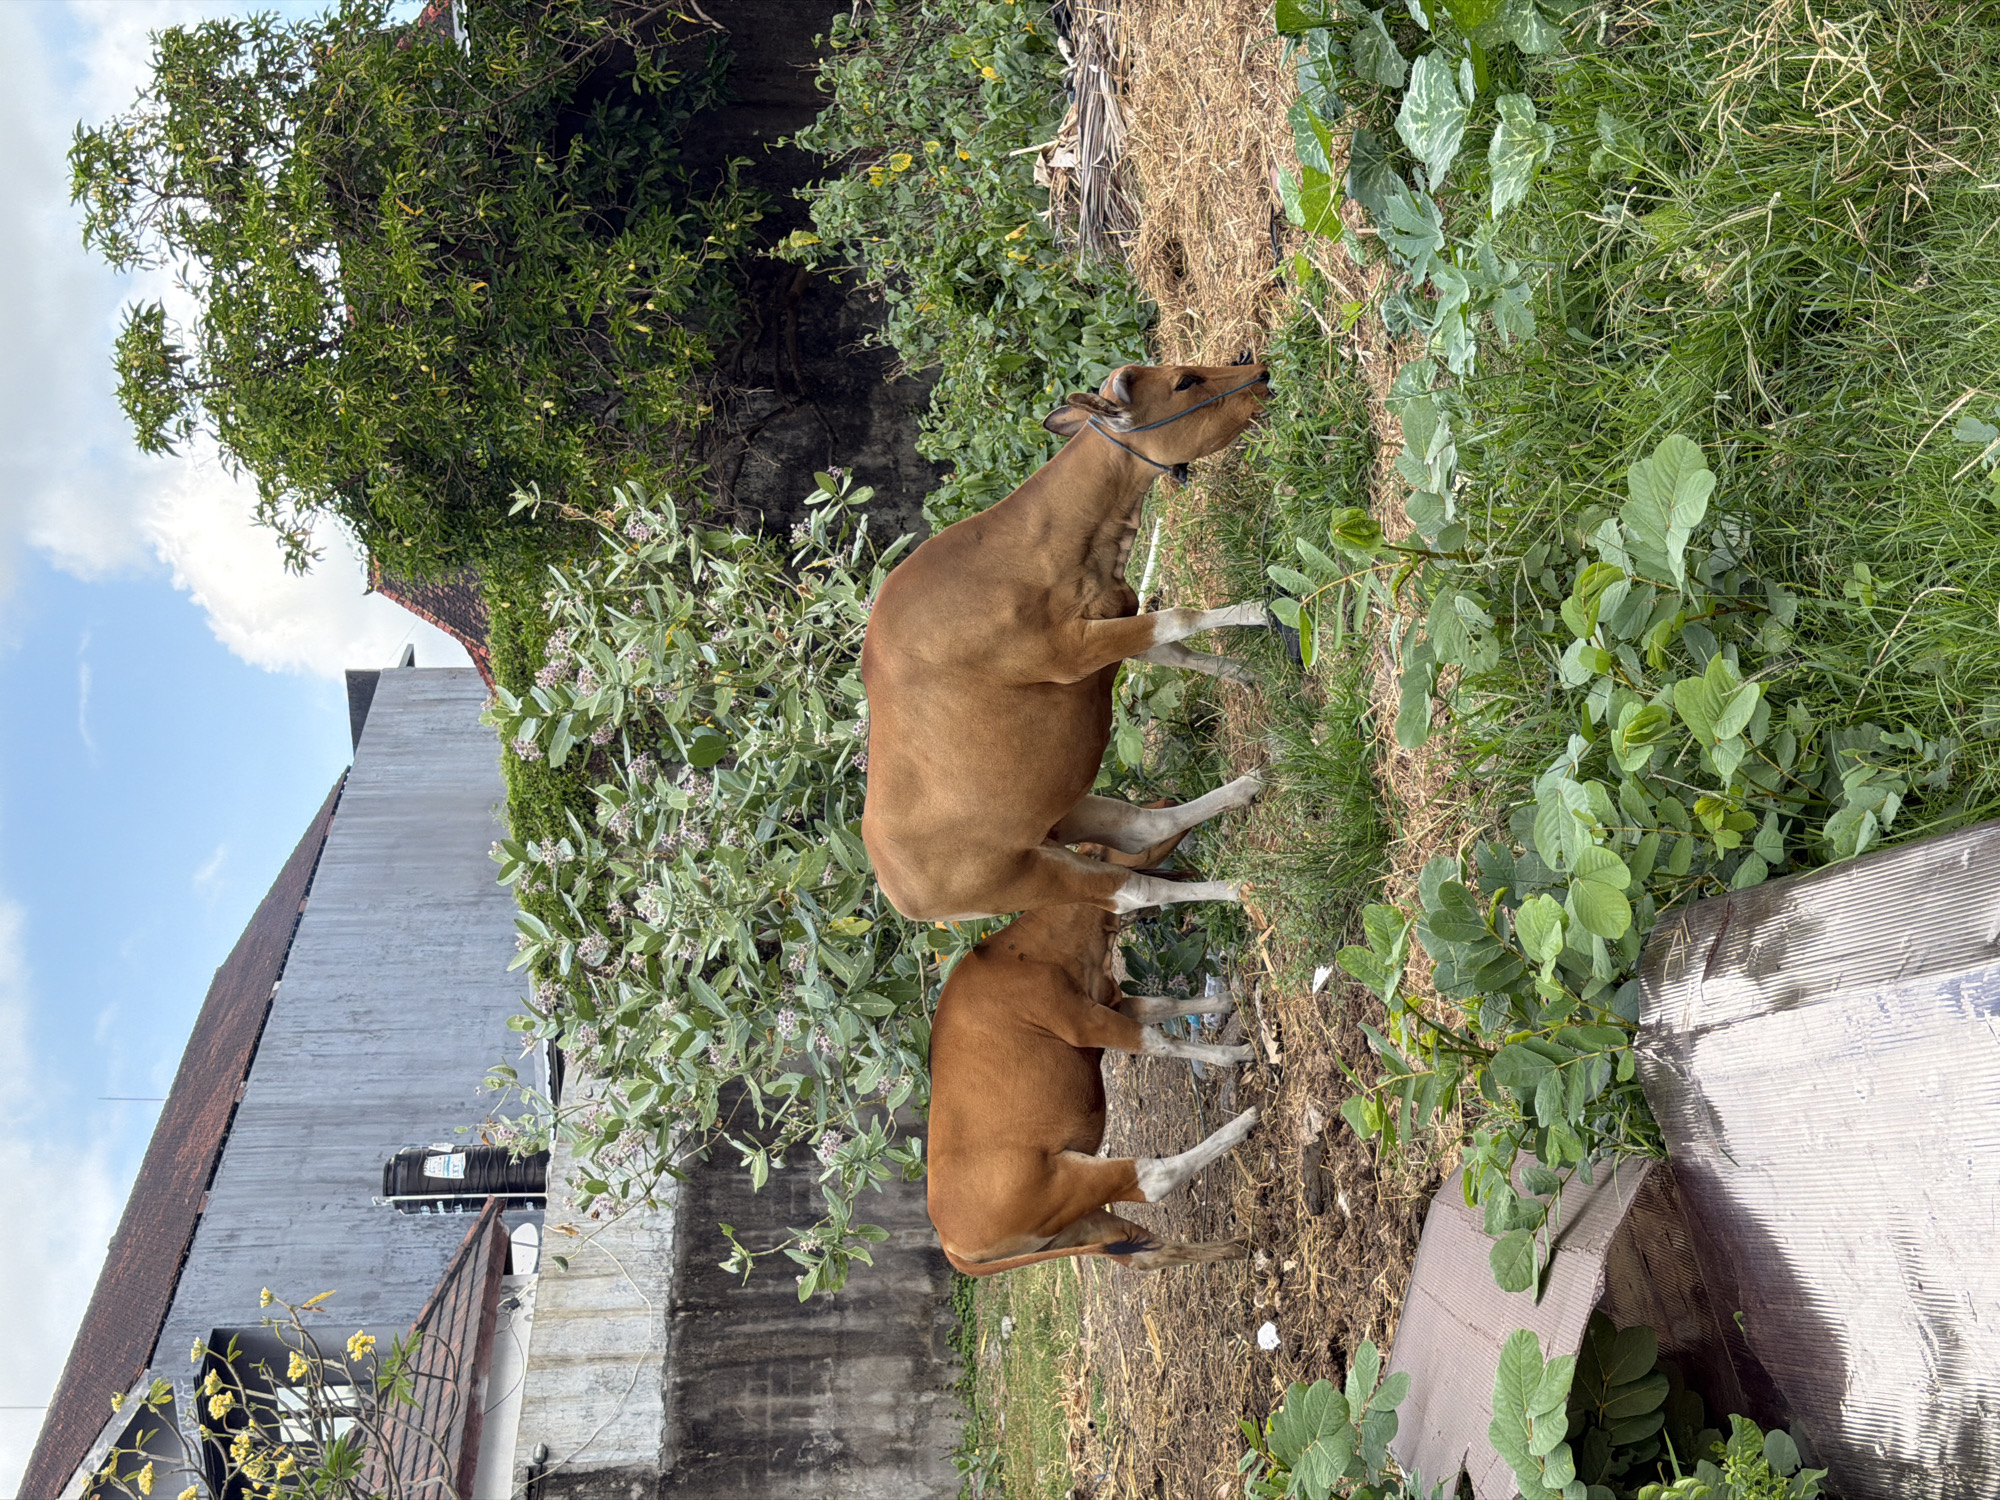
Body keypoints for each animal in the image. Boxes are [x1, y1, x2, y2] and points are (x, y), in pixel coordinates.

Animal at [860, 360, 1278, 922]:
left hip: (1061, 813)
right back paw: (1240, 888)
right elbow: (1181, 616)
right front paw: (1262, 610)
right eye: (1184, 382)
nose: (1261, 371)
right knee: (1132, 891)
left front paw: (1250, 672)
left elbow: (1174, 647)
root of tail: (896, 890)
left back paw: (1248, 787)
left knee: (1143, 826)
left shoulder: (1114, 620)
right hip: (1035, 876)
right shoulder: (1073, 652)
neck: (1033, 547)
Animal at [926, 893, 1259, 1277]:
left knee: (1145, 1253)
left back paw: (1240, 1247)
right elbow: (1161, 1043)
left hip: (1075, 1223)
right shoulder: (1086, 1022)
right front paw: (1234, 1054)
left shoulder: (1111, 1001)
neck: (1028, 950)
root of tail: (951, 1245)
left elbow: (1166, 1003)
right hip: (1070, 1181)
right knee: (1153, 1176)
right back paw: (1243, 1124)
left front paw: (1230, 997)